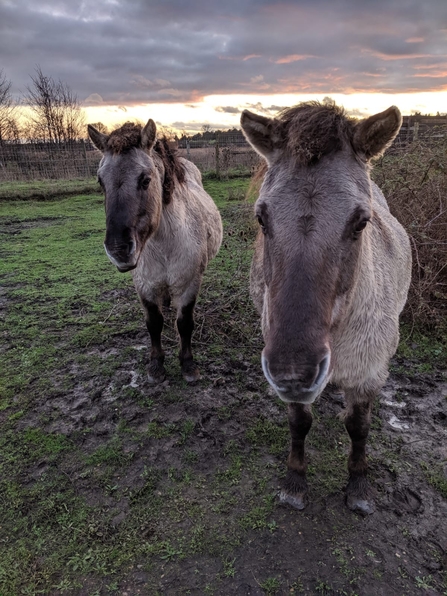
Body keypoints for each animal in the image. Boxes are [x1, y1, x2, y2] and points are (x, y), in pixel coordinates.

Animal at [87, 120, 222, 382]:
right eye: (100, 182)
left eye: (145, 180)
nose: (119, 250)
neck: (163, 245)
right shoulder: (144, 284)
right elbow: (154, 323)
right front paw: (156, 365)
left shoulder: (190, 283)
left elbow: (185, 323)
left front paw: (188, 365)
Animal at [242, 101, 412, 512]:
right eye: (261, 218)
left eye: (361, 222)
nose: (293, 372)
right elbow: (299, 422)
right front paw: (295, 481)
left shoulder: (369, 372)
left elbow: (359, 426)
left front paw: (359, 486)